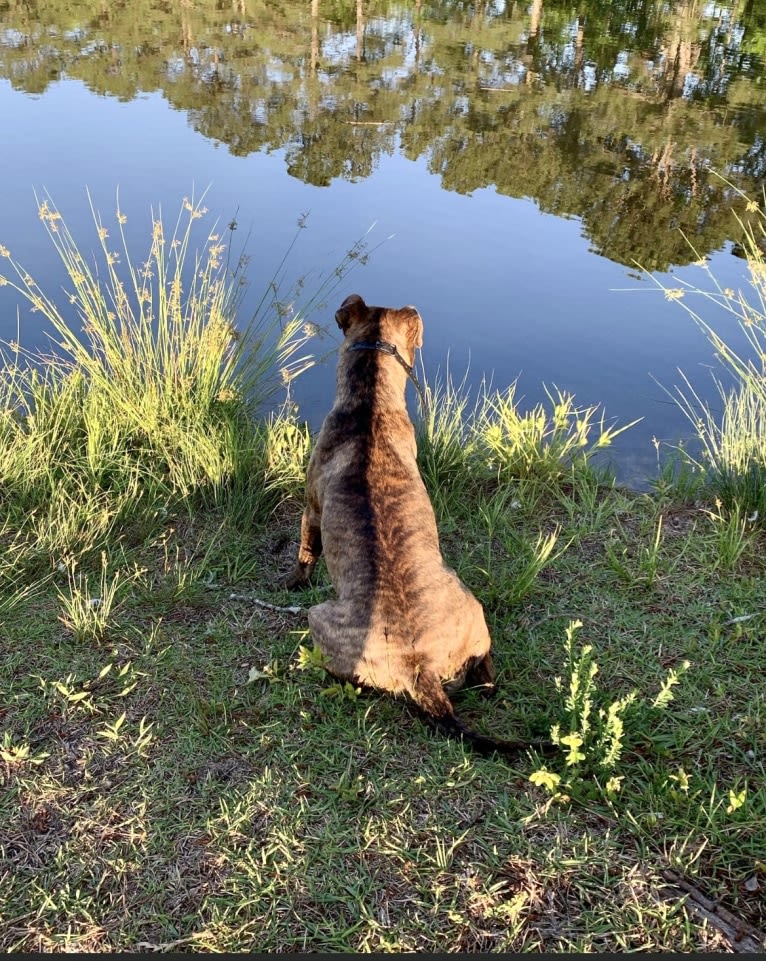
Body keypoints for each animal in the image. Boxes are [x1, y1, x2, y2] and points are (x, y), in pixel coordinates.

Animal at [290, 292, 540, 756]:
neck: (369, 403)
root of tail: (418, 666)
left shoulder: (310, 509)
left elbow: (305, 553)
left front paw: (293, 579)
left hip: (319, 616)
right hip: (470, 605)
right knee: (487, 674)